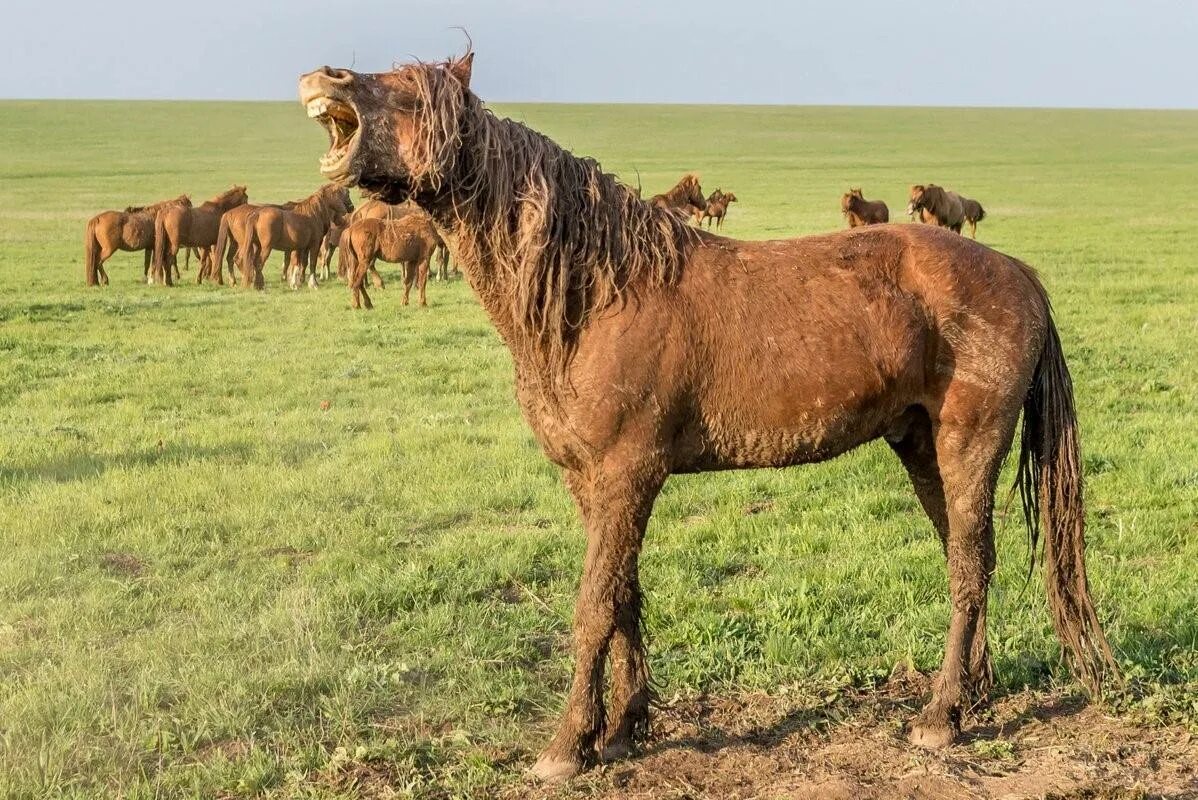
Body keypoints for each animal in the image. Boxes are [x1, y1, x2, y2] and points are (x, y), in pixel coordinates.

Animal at [299, 52, 1111, 785]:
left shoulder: (629, 473)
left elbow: (593, 605)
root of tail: (1017, 272)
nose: (325, 78)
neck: (597, 291)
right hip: (919, 446)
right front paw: (624, 727)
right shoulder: (591, 481)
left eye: (407, 89)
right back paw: (973, 694)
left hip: (968, 442)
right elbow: (623, 595)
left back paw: (940, 718)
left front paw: (567, 747)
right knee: (969, 559)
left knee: (969, 567)